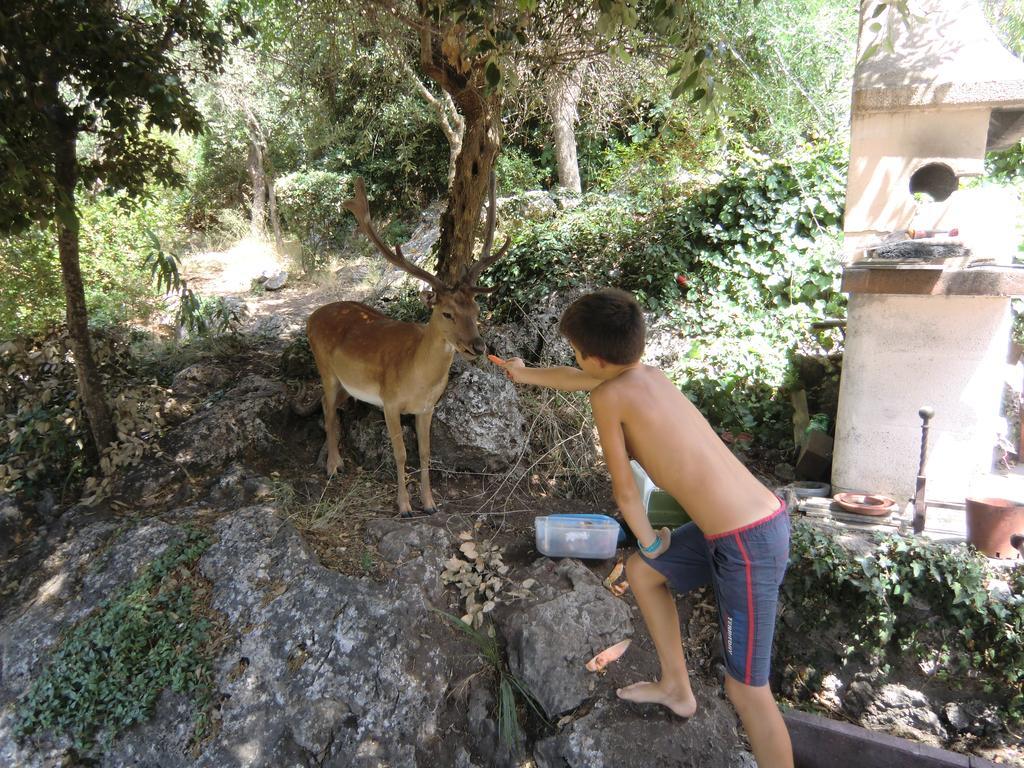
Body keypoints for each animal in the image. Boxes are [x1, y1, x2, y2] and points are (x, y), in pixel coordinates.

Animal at [305, 173, 509, 518]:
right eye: (446, 313)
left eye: (477, 309)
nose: (478, 346)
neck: (418, 379)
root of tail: (312, 316)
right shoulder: (389, 402)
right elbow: (401, 453)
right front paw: (404, 507)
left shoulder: (428, 408)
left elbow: (425, 453)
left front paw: (430, 503)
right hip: (325, 368)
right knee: (328, 408)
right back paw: (334, 465)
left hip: (347, 382)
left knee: (327, 404)